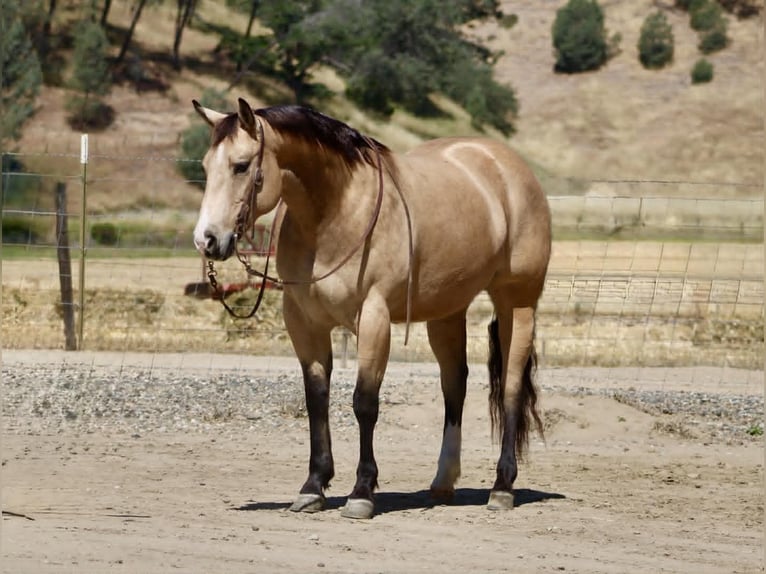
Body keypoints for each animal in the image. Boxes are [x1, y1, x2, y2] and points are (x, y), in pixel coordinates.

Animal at [192, 98, 551, 519]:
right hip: (446, 312)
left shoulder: (374, 318)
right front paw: (313, 486)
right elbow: (316, 399)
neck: (337, 212)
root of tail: (509, 166)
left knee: (510, 387)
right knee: (454, 385)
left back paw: (502, 487)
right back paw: (443, 482)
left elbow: (364, 403)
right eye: (205, 166)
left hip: (518, 302)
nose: (206, 240)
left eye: (241, 165)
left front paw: (361, 492)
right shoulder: (304, 322)